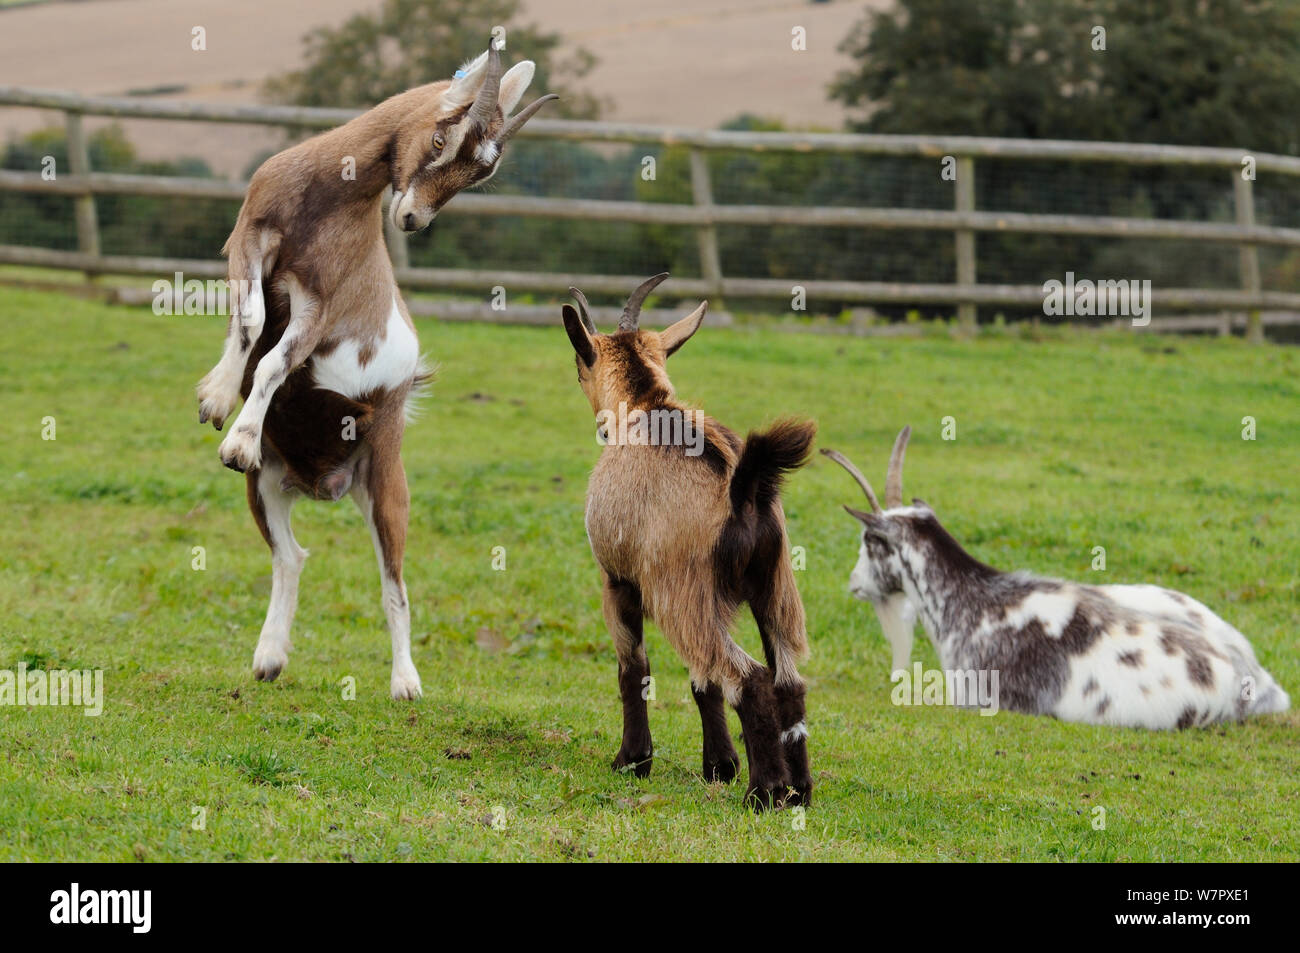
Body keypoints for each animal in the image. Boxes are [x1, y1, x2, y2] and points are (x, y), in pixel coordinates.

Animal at [195, 40, 555, 698]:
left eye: (483, 173)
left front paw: (236, 438)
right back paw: (269, 658)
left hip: (385, 482)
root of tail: (322, 484)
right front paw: (217, 398)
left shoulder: (320, 305)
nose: (412, 218)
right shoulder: (249, 238)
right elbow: (251, 321)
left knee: (394, 581)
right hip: (267, 485)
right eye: (443, 136)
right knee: (291, 556)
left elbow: (276, 359)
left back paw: (405, 682)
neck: (327, 199)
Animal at [561, 274, 817, 809]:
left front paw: (632, 762)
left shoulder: (620, 579)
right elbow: (703, 682)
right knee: (786, 680)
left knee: (749, 678)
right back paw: (798, 791)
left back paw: (764, 791)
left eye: (578, 366)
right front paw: (719, 766)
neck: (645, 409)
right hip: (772, 588)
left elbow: (633, 667)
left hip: (684, 592)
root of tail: (742, 491)